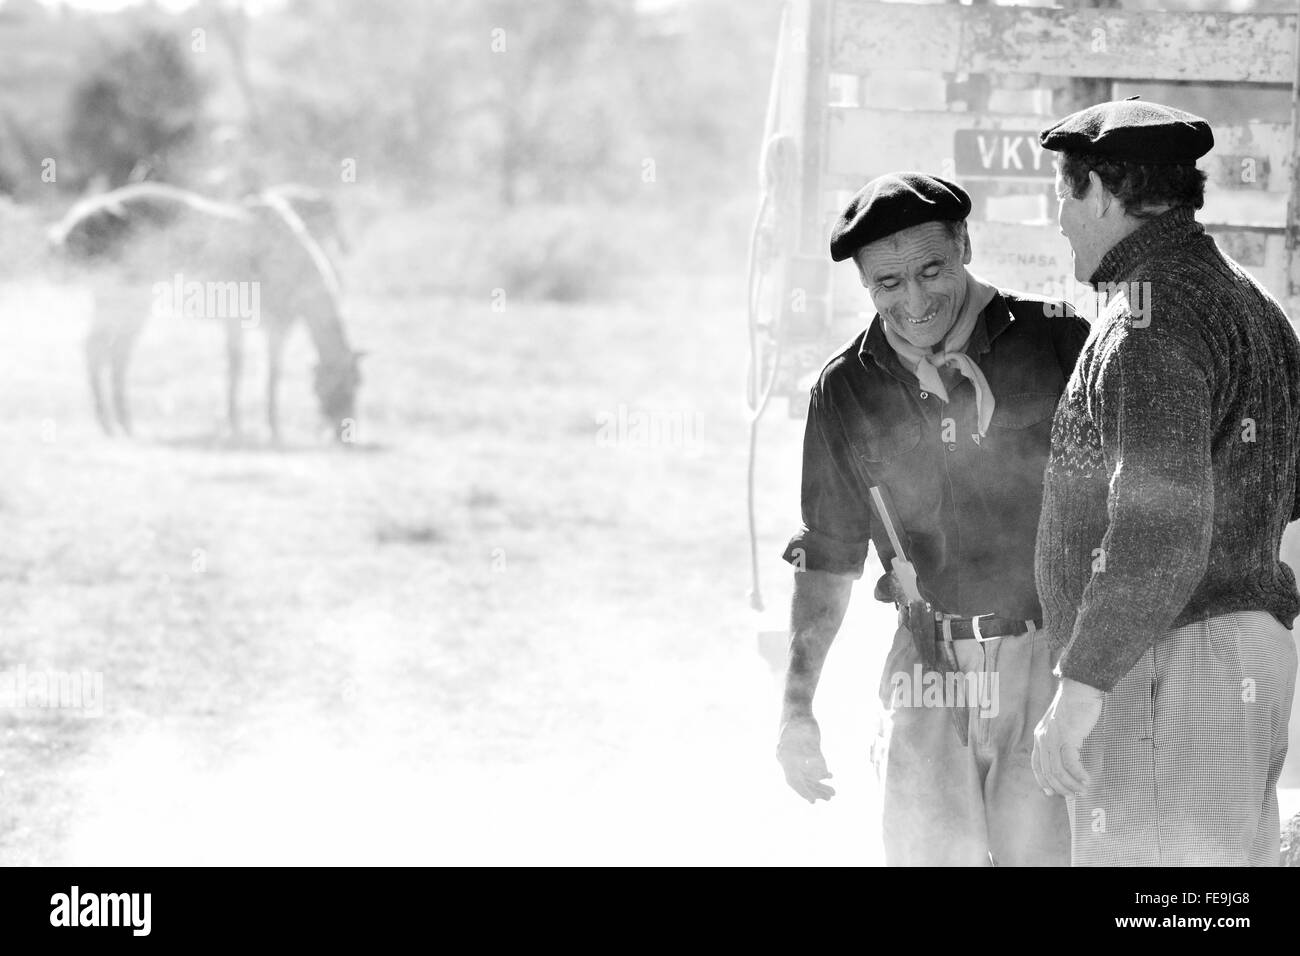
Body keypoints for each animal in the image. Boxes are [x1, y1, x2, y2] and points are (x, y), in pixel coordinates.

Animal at [50, 180, 364, 442]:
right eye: (348, 385)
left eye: (359, 384)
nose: (345, 434)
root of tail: (73, 226)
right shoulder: (277, 326)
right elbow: (269, 376)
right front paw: (269, 429)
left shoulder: (236, 322)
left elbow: (236, 368)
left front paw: (236, 425)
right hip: (127, 300)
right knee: (105, 351)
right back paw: (114, 423)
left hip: (120, 301)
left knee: (108, 352)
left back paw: (117, 424)